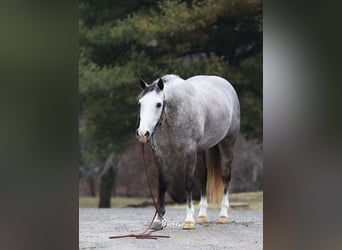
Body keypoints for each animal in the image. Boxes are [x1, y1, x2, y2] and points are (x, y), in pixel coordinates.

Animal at [135, 74, 239, 230]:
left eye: (158, 104)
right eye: (140, 103)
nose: (143, 133)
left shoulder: (189, 152)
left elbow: (188, 183)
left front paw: (189, 220)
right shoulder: (161, 153)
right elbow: (162, 184)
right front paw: (158, 220)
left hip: (227, 143)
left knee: (225, 176)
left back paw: (223, 215)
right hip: (201, 150)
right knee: (203, 177)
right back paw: (202, 216)